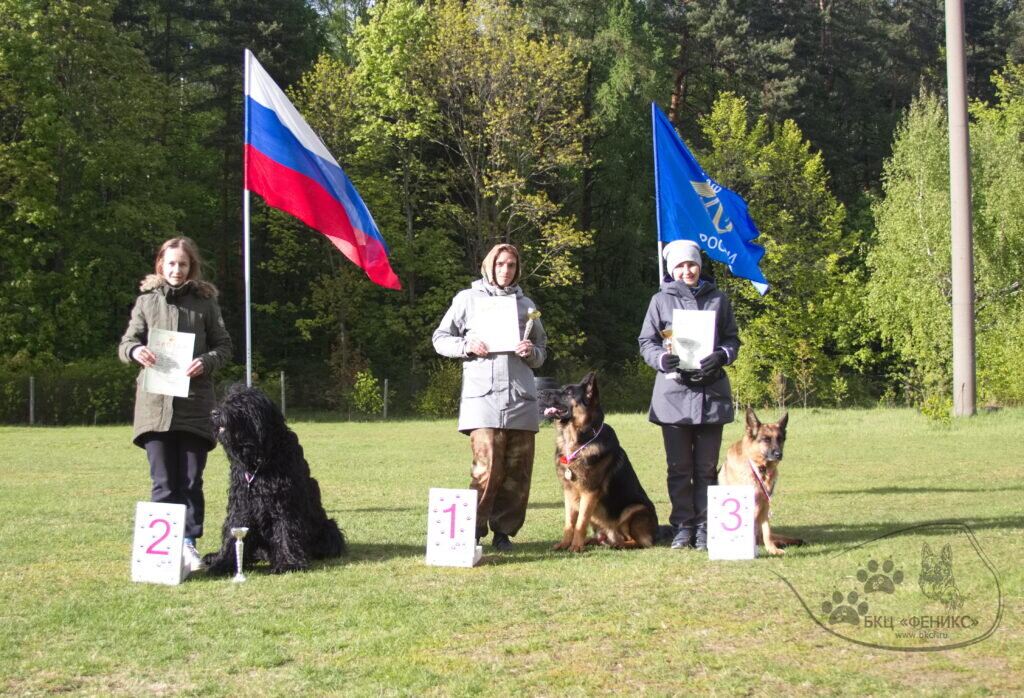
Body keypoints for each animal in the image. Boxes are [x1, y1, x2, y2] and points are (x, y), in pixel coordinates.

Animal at [202, 385, 346, 575]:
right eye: (226, 401)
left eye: (240, 404)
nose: (214, 413)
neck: (260, 459)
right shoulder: (241, 503)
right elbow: (232, 534)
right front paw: (223, 563)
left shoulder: (285, 502)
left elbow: (286, 529)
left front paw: (289, 563)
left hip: (329, 527)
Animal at [538, 372, 658, 552]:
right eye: (561, 388)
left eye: (568, 392)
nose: (540, 393)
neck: (579, 439)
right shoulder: (569, 491)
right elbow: (570, 522)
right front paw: (566, 544)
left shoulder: (589, 492)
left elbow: (580, 522)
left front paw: (575, 546)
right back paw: (592, 541)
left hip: (633, 509)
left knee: (639, 542)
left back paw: (619, 544)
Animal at [719, 408, 802, 555]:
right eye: (766, 439)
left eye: (780, 439)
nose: (779, 454)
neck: (760, 468)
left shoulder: (765, 505)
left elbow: (767, 531)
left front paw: (772, 549)